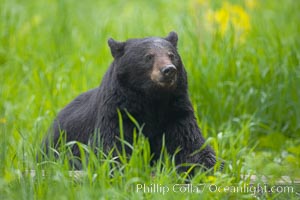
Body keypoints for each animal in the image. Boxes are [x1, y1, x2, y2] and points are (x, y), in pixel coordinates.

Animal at [41, 31, 216, 172]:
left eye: (172, 55)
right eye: (149, 56)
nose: (168, 70)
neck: (152, 100)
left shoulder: (175, 112)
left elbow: (190, 144)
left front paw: (207, 166)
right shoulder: (118, 114)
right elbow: (112, 147)